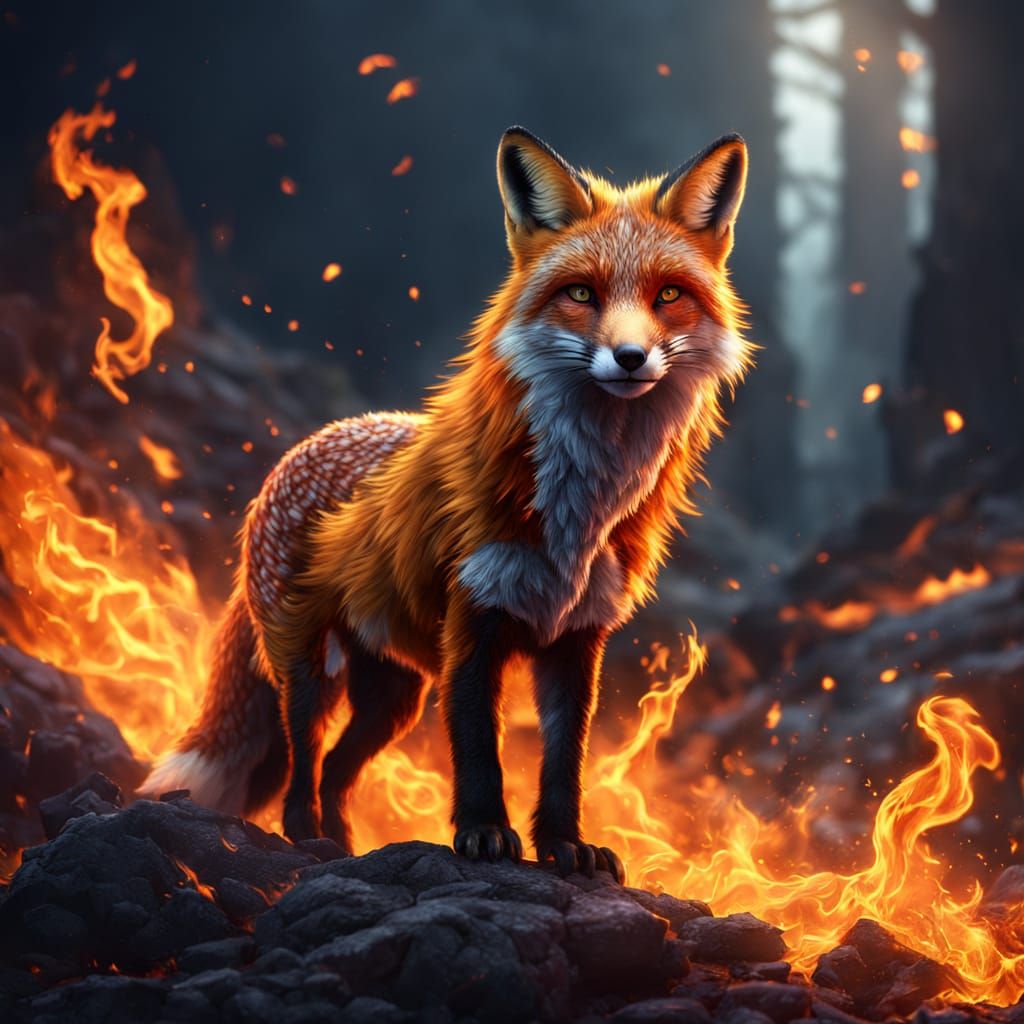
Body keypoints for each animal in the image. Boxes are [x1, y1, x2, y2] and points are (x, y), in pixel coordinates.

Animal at [142, 127, 753, 881]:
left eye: (668, 294)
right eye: (581, 293)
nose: (631, 357)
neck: (576, 516)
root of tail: (303, 446)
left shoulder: (579, 640)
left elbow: (563, 761)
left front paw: (564, 846)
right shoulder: (472, 622)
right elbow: (478, 747)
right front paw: (484, 834)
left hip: (393, 698)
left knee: (339, 770)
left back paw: (346, 845)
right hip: (309, 667)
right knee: (303, 758)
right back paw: (306, 838)